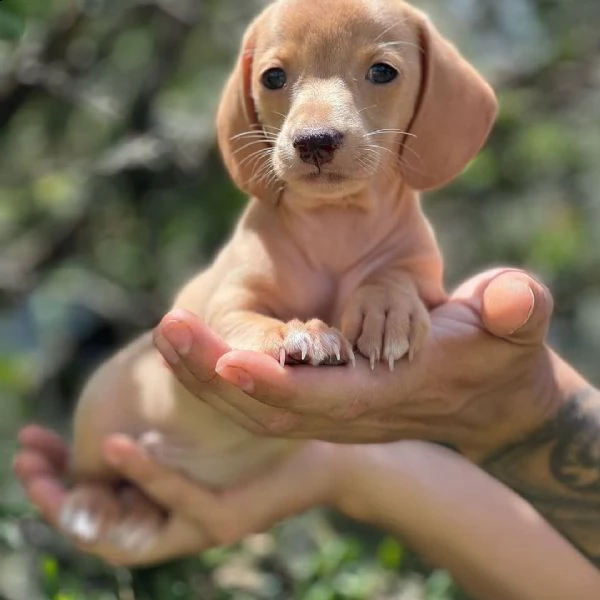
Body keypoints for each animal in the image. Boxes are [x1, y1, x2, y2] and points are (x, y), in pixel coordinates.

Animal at [59, 0, 496, 564]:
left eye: (383, 72)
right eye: (273, 77)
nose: (314, 142)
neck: (337, 225)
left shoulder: (426, 278)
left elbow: (395, 277)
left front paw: (387, 310)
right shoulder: (227, 302)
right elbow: (252, 319)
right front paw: (295, 332)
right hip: (99, 408)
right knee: (90, 471)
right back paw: (95, 507)